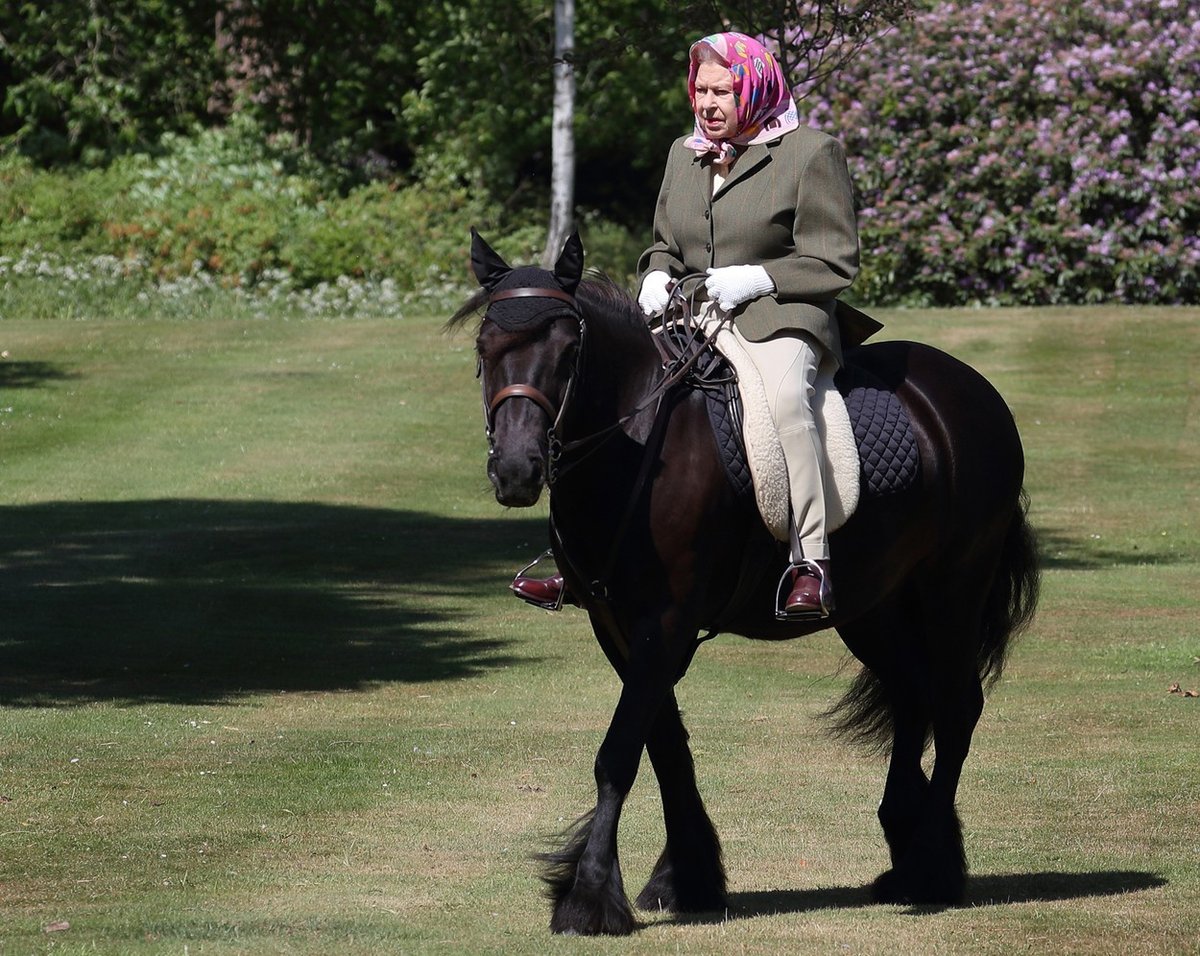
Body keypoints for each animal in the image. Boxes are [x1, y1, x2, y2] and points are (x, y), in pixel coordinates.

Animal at [451, 231, 1041, 930]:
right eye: (485, 350)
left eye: (569, 352)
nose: (517, 470)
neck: (638, 442)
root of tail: (969, 391)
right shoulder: (618, 625)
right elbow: (665, 747)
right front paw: (686, 878)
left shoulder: (666, 623)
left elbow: (619, 754)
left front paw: (589, 896)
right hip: (873, 607)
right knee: (911, 694)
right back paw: (906, 847)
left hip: (953, 587)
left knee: (954, 707)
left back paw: (931, 866)